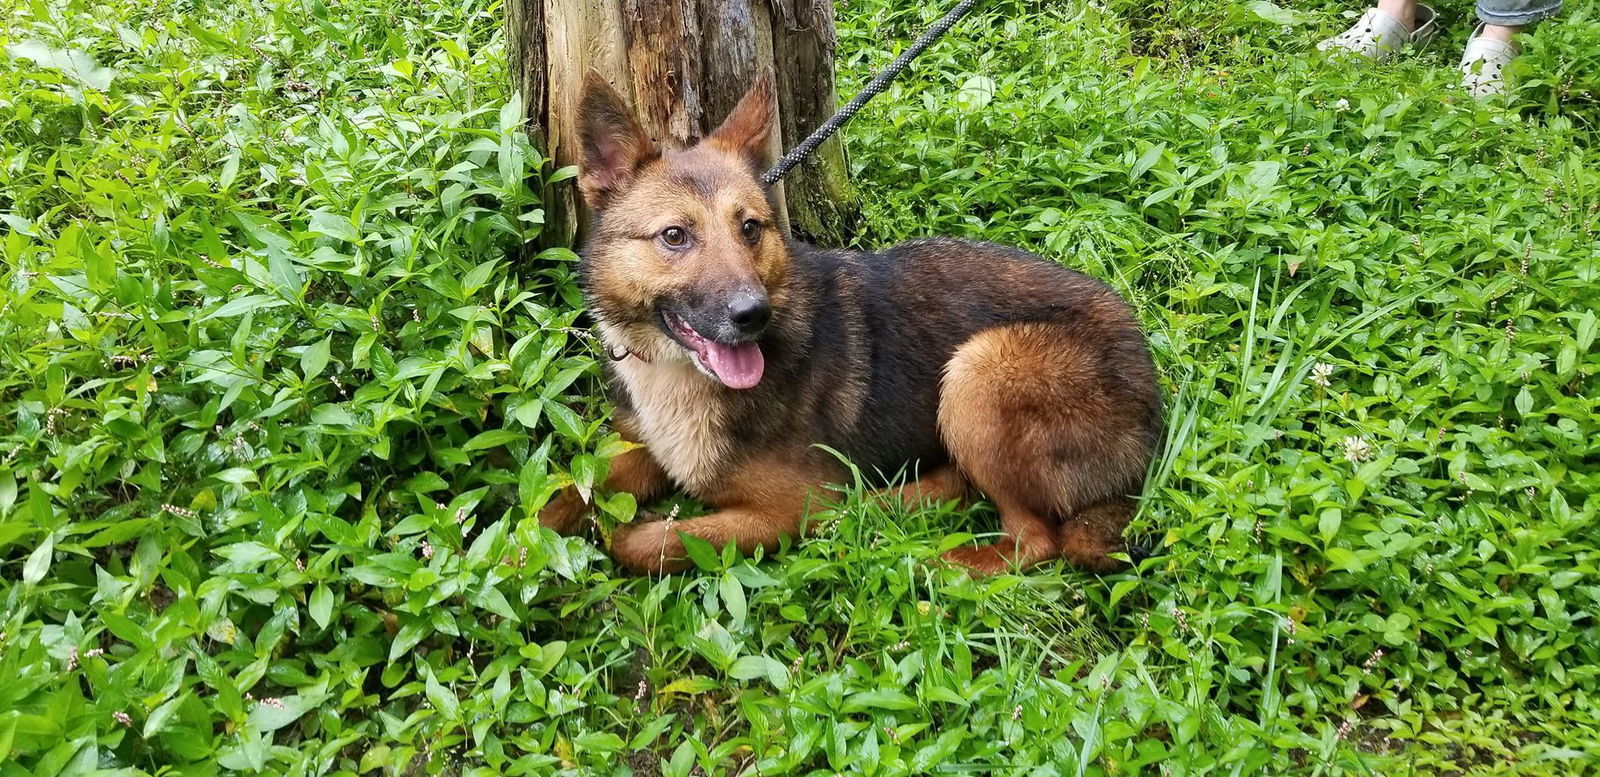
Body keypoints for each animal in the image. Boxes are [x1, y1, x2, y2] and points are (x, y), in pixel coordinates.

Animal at [537, 68, 1164, 575]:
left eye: (750, 228)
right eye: (674, 236)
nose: (753, 315)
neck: (677, 372)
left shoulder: (785, 509)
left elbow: (639, 542)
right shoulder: (634, 451)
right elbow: (560, 495)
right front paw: (520, 554)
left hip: (980, 368)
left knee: (1033, 541)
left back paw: (917, 540)